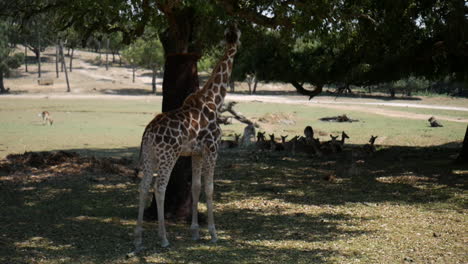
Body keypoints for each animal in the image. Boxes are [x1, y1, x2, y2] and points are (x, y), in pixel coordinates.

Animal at [133, 24, 239, 252]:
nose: (235, 39)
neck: (214, 101)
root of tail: (148, 132)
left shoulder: (195, 153)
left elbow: (196, 187)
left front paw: (195, 232)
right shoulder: (213, 149)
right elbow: (209, 188)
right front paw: (213, 233)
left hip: (149, 155)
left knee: (144, 186)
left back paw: (138, 239)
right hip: (168, 155)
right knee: (159, 187)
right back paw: (164, 238)